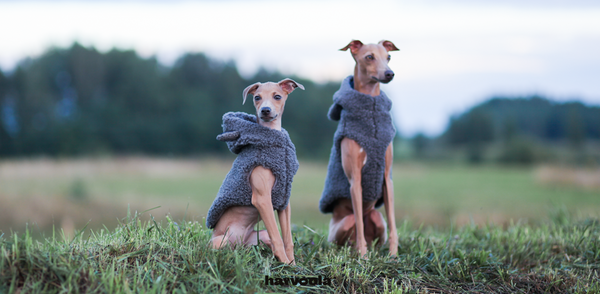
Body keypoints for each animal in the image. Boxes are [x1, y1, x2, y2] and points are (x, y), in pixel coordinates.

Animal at [207, 78, 304, 264]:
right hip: (220, 241)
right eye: (257, 97)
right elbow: (278, 237)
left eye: (277, 96)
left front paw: (293, 265)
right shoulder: (262, 199)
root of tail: (240, 244)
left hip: (260, 236)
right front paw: (286, 264)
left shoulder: (284, 200)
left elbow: (287, 239)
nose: (265, 110)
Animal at [322, 39, 400, 258]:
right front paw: (363, 257)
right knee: (355, 228)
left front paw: (394, 255)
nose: (389, 74)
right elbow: (359, 224)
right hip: (343, 224)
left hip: (376, 217)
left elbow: (393, 221)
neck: (370, 104)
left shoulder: (387, 178)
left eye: (389, 57)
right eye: (369, 57)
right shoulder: (355, 180)